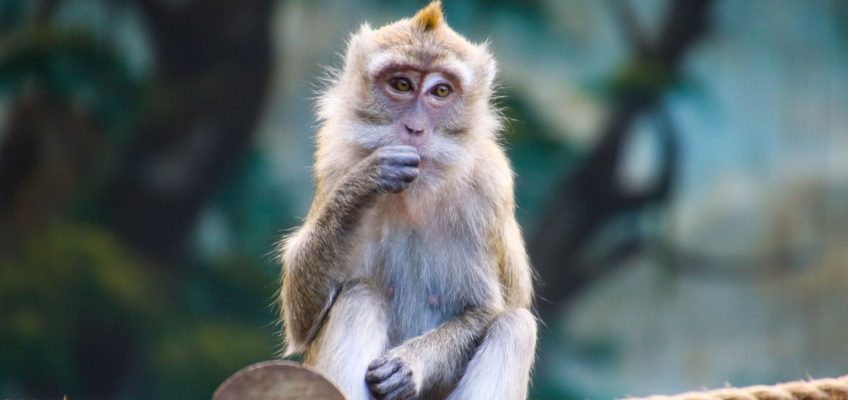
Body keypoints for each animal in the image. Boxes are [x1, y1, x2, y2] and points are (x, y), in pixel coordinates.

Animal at [278, 2, 536, 399]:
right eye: (402, 85)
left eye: (441, 91)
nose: (415, 128)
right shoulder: (334, 161)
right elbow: (302, 320)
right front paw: (367, 179)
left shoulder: (488, 190)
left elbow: (483, 312)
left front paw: (408, 365)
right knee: (361, 295)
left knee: (516, 327)